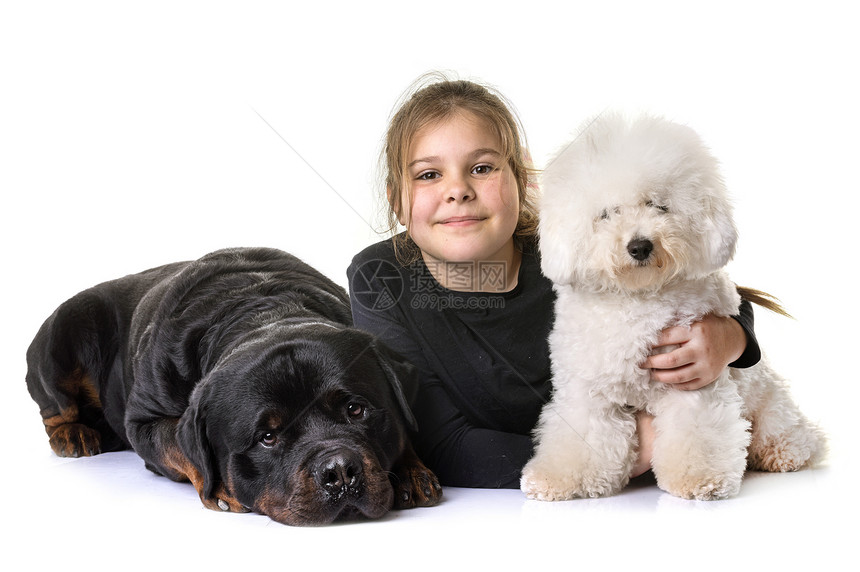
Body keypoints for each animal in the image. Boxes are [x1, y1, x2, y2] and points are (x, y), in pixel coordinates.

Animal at [520, 113, 824, 500]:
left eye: (659, 206)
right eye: (607, 214)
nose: (639, 246)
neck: (637, 299)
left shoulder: (695, 384)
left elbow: (696, 433)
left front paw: (699, 478)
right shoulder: (587, 391)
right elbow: (580, 438)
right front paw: (559, 478)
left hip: (770, 401)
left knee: (793, 433)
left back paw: (783, 452)